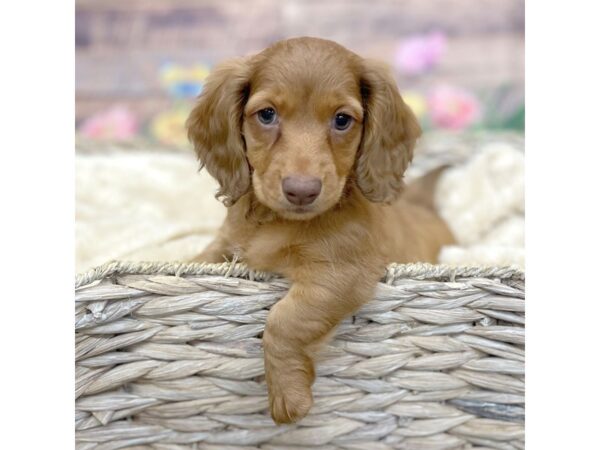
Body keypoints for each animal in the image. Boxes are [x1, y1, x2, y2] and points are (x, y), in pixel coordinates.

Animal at [185, 37, 452, 424]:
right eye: (267, 115)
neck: (278, 222)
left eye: (342, 120)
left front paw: (288, 396)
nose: (301, 191)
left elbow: (284, 320)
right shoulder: (224, 246)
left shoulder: (341, 273)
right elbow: (199, 259)